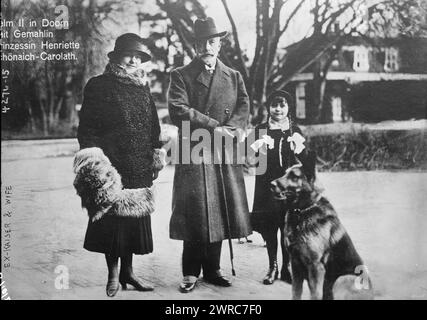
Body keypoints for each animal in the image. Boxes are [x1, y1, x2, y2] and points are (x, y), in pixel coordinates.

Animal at [270, 165, 374, 300]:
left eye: (294, 176)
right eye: (285, 173)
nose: (271, 184)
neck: (302, 210)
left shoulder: (316, 267)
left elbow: (315, 295)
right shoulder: (295, 264)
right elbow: (296, 292)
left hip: (342, 279)